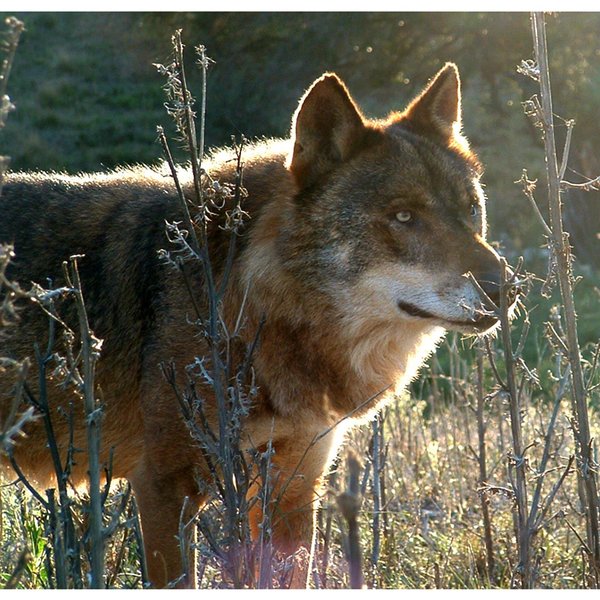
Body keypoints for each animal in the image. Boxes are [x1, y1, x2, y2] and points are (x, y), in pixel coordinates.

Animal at [0, 63, 516, 588]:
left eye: (471, 209)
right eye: (404, 215)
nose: (506, 289)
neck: (258, 308)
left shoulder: (293, 488)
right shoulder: (165, 489)